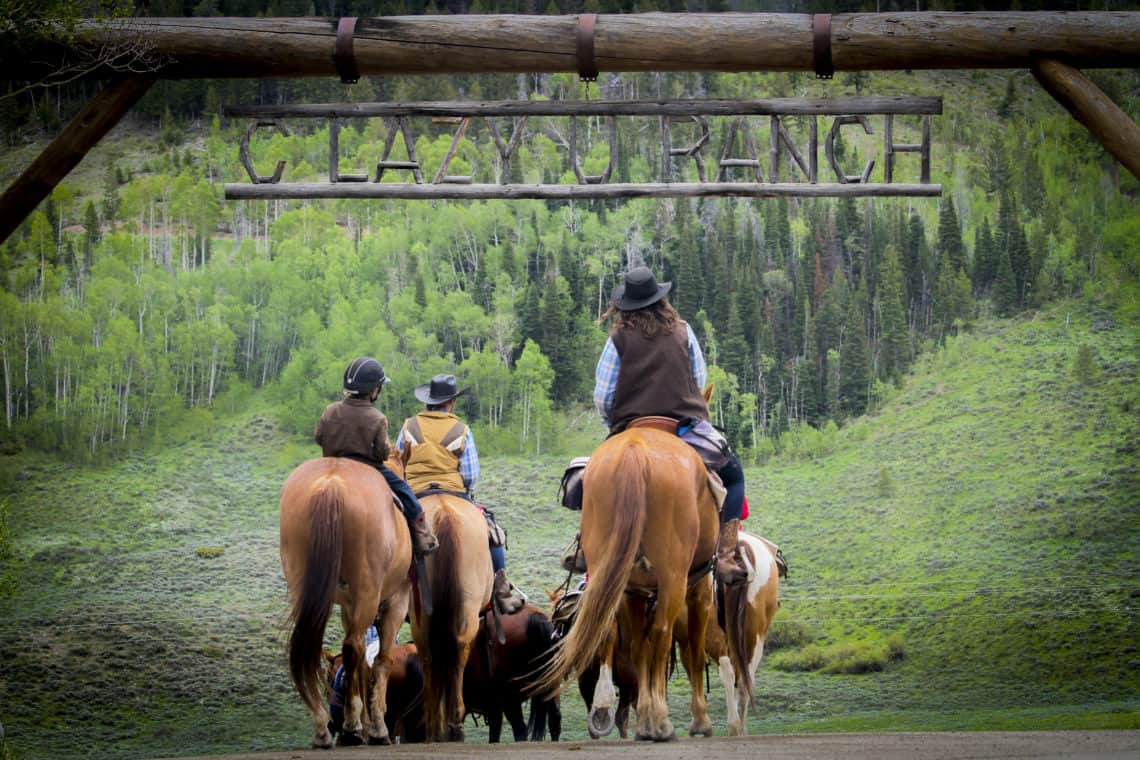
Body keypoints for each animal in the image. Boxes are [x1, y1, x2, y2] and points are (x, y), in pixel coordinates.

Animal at [278, 458, 412, 747]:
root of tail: (331, 485)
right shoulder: (396, 602)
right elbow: (381, 660)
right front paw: (375, 727)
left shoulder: (349, 608)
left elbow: (361, 663)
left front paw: (365, 724)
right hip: (368, 591)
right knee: (351, 649)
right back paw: (351, 727)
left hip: (303, 589)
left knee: (310, 648)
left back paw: (322, 729)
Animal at [405, 489, 490, 738]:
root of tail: (445, 514)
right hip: (465, 608)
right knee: (457, 648)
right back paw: (453, 720)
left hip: (422, 615)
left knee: (430, 657)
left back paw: (437, 724)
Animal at [533, 428, 711, 742]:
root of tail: (635, 450)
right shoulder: (698, 590)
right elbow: (695, 654)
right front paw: (699, 720)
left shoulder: (635, 593)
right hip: (673, 579)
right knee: (660, 633)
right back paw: (659, 723)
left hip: (617, 579)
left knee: (615, 635)